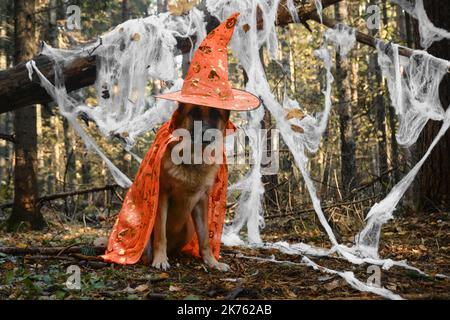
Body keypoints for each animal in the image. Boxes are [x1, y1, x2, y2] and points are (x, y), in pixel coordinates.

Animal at [143, 104, 230, 272]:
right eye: (194, 112)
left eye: (215, 114)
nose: (206, 135)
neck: (193, 158)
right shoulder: (162, 196)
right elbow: (161, 234)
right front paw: (160, 259)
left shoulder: (201, 201)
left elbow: (204, 238)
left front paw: (212, 262)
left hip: (188, 228)